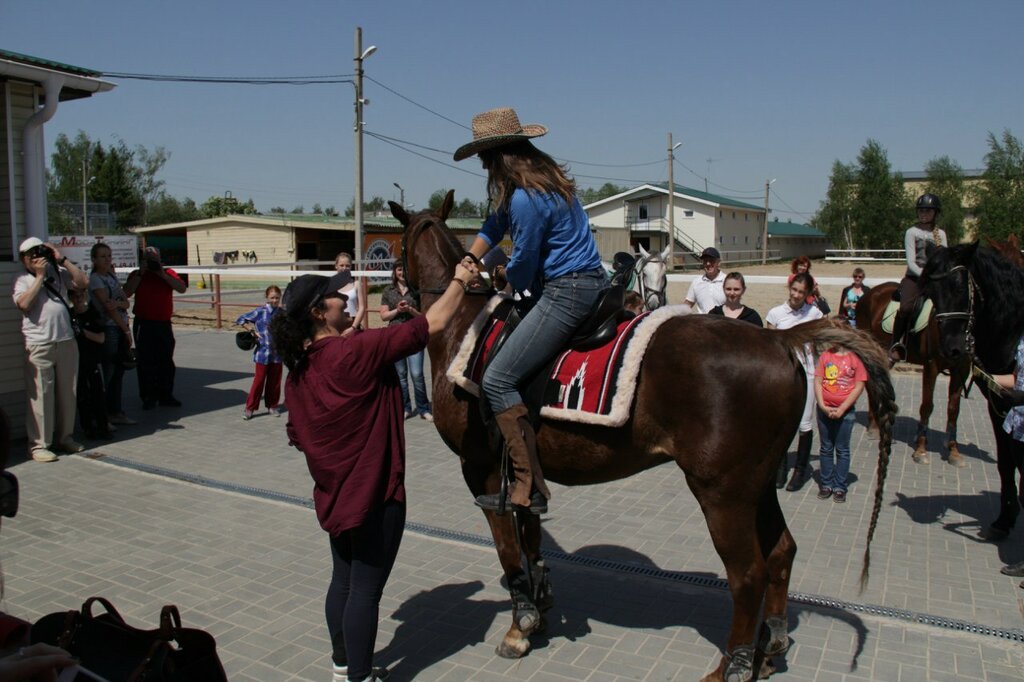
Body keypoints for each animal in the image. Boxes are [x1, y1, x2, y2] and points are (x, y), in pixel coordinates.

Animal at [393, 192, 897, 679]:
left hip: (724, 493)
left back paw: (732, 666)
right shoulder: (522, 476)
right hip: (758, 486)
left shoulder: (480, 471)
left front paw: (521, 624)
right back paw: (768, 649)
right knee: (781, 554)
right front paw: (539, 608)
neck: (464, 326)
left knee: (748, 574)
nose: (395, 289)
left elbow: (508, 551)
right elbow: (531, 540)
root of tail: (777, 339)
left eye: (397, 250)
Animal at [856, 278, 966, 464]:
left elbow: (954, 409)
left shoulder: (961, 369)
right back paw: (874, 427)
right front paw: (921, 451)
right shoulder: (931, 365)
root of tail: (869, 294)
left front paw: (954, 452)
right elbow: (927, 406)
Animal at [921, 241, 1024, 540]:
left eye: (959, 286)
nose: (953, 348)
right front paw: (1004, 520)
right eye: (930, 292)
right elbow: (1006, 462)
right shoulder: (997, 403)